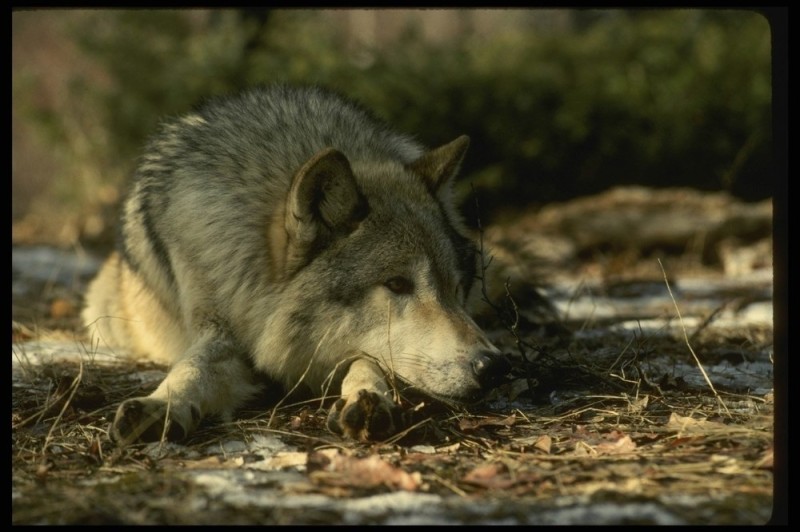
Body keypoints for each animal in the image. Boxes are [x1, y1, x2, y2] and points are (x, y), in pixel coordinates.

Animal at [84, 86, 512, 444]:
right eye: (397, 284)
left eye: (455, 287)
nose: (492, 366)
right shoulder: (219, 330)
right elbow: (193, 368)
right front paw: (162, 405)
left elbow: (369, 361)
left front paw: (369, 398)